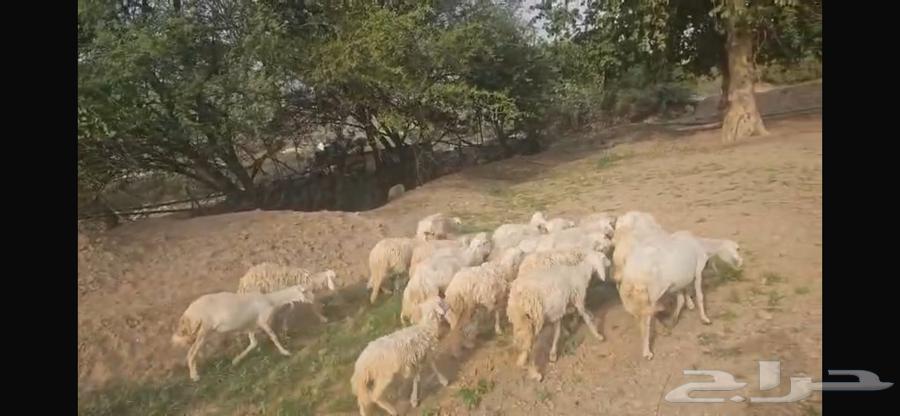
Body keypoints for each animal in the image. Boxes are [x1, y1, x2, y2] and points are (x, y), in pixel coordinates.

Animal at [171, 285, 313, 381]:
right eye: (306, 291)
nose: (313, 300)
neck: (270, 300)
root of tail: (188, 313)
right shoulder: (263, 321)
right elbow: (273, 337)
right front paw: (286, 352)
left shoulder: (250, 325)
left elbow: (253, 343)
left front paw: (235, 361)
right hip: (205, 329)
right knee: (191, 351)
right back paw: (194, 376)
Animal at [506, 251, 610, 381]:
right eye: (604, 257)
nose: (611, 262)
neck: (581, 271)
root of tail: (516, 296)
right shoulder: (578, 299)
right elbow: (585, 317)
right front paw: (598, 334)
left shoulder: (558, 310)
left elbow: (557, 332)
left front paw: (553, 354)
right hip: (531, 320)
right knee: (527, 349)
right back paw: (535, 373)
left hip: (520, 322)